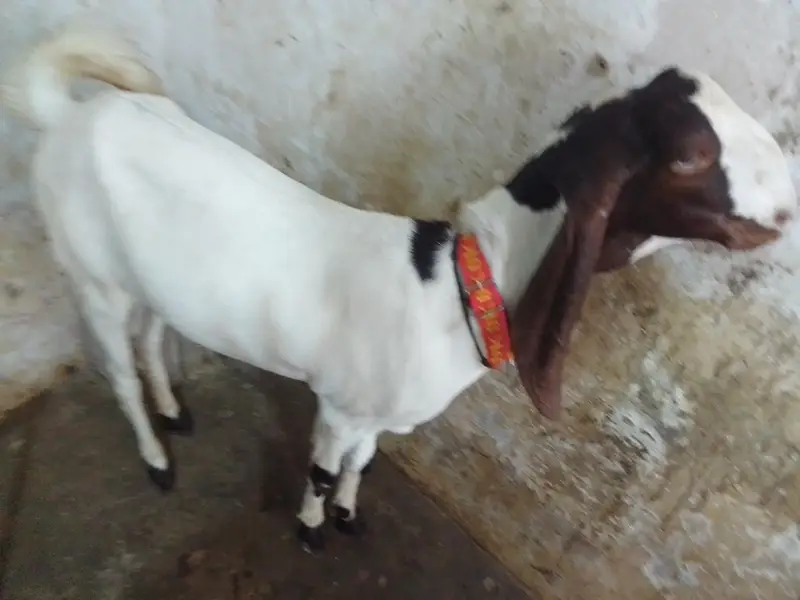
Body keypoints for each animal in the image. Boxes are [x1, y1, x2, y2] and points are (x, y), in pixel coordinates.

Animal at [1, 23, 795, 552]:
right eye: (690, 155)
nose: (788, 202)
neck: (453, 288)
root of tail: (69, 111)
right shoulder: (341, 403)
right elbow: (326, 468)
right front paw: (313, 529)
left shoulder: (375, 413)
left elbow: (365, 461)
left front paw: (350, 514)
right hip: (91, 275)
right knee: (119, 371)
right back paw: (158, 457)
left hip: (147, 277)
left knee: (152, 332)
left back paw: (175, 410)